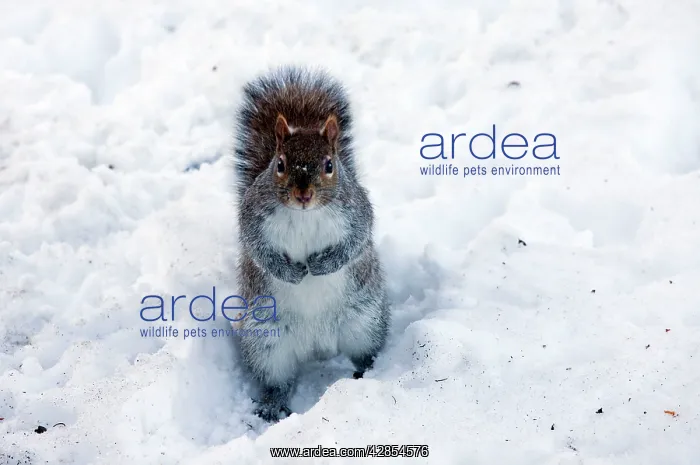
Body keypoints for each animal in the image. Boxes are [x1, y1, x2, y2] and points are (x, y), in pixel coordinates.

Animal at [231, 66, 390, 422]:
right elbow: (257, 249)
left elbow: (355, 241)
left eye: (329, 165)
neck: (305, 214)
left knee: (365, 353)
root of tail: (316, 344)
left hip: (364, 323)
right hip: (267, 343)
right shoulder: (253, 217)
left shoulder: (356, 211)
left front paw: (322, 264)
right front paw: (290, 272)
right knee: (276, 378)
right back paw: (272, 405)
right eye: (279, 164)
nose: (303, 195)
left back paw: (367, 376)